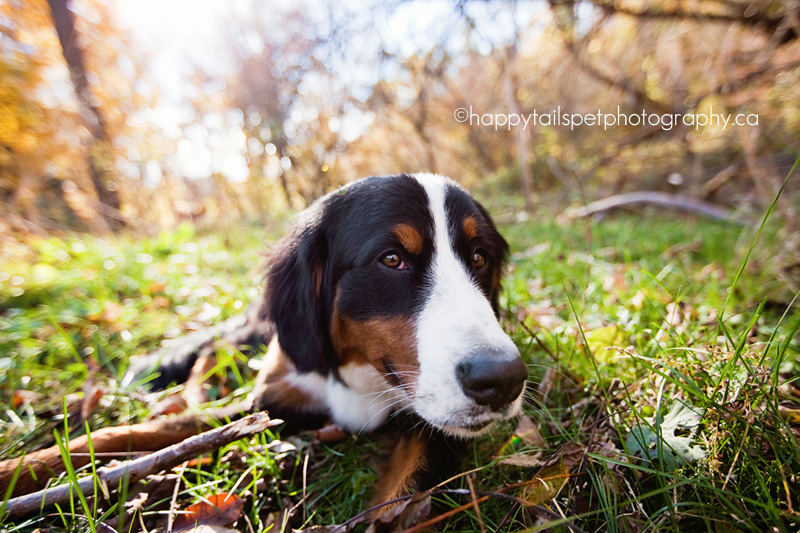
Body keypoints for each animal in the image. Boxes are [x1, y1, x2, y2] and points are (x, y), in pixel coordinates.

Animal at [1, 174, 532, 508]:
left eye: (480, 258)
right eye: (391, 259)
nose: (502, 379)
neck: (359, 374)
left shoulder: (432, 431)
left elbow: (405, 496)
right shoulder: (271, 401)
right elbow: (147, 433)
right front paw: (24, 469)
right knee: (213, 353)